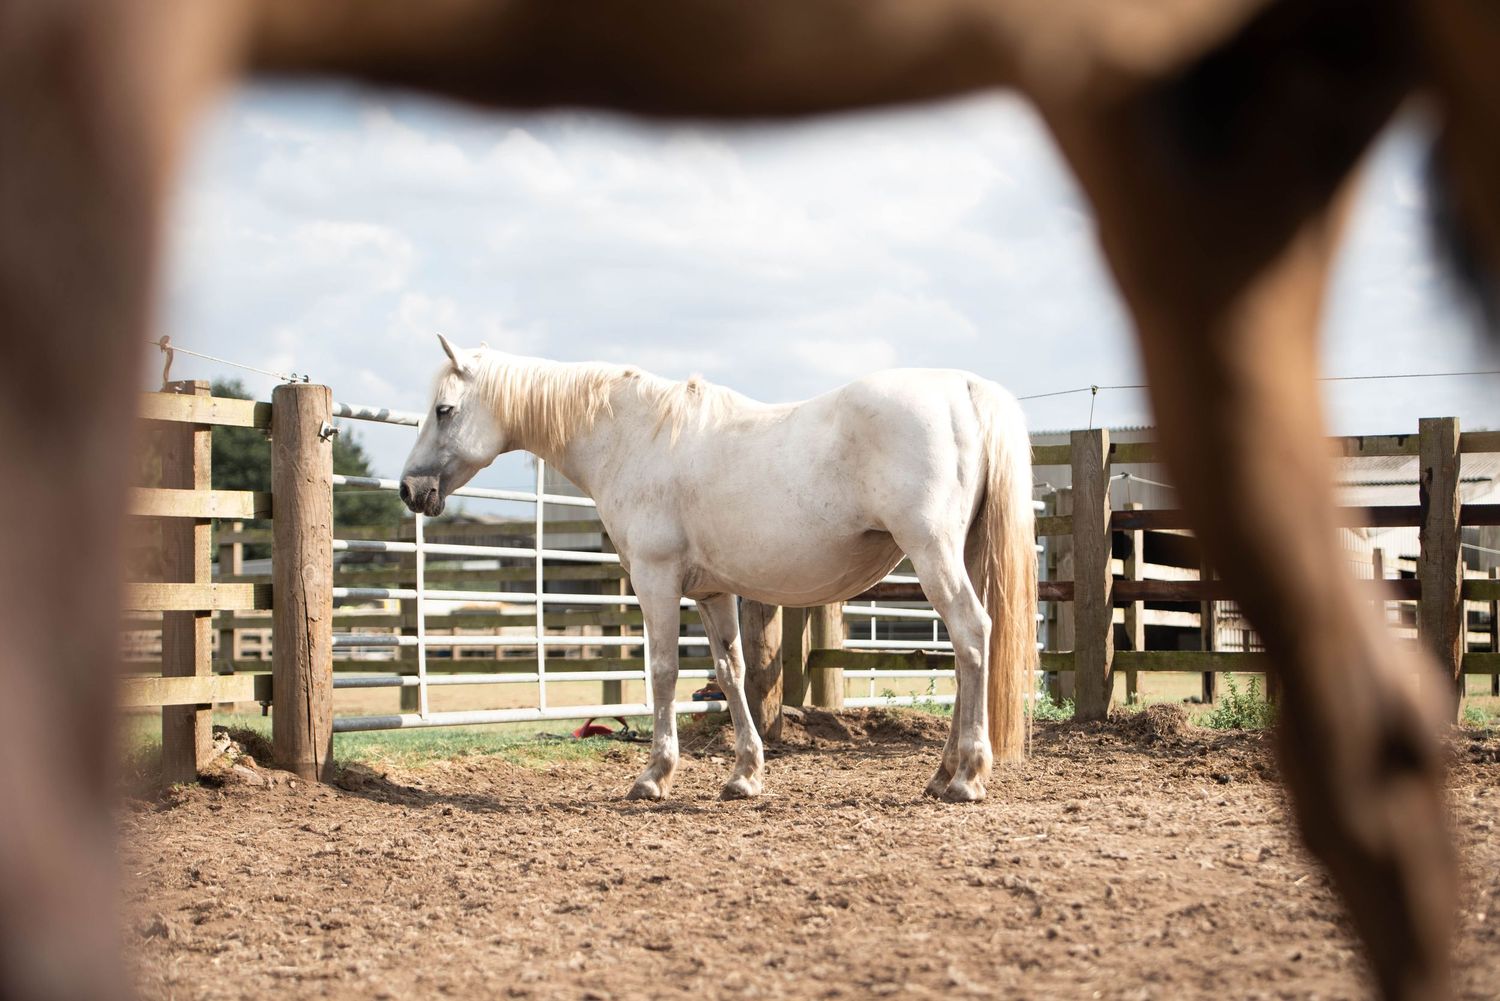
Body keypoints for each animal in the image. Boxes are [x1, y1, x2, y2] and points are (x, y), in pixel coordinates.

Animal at [397, 337, 1038, 803]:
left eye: (444, 410)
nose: (410, 489)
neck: (633, 437)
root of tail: (966, 388)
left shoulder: (655, 581)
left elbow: (661, 673)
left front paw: (653, 776)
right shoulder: (711, 593)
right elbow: (731, 673)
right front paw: (745, 776)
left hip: (932, 552)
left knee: (972, 635)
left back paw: (967, 777)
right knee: (965, 651)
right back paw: (941, 775)